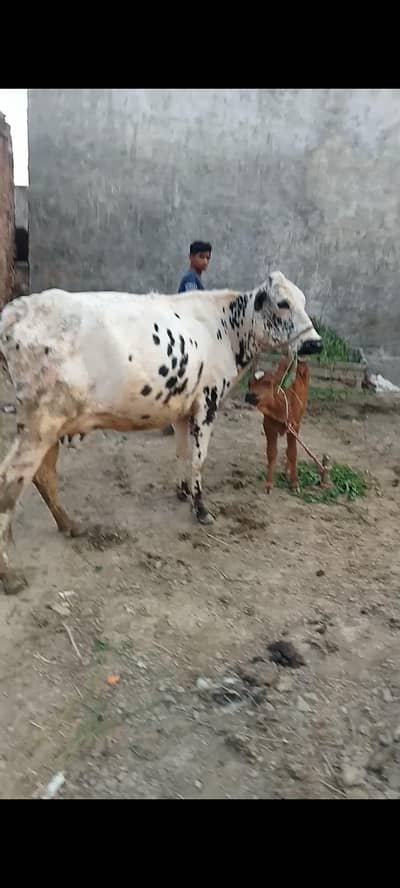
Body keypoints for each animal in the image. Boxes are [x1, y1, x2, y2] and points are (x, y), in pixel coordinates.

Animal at [245, 357, 310, 493]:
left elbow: (292, 453)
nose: (250, 396)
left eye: (268, 383)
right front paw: (269, 483)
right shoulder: (268, 426)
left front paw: (294, 483)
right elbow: (271, 453)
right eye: (249, 383)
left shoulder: (294, 427)